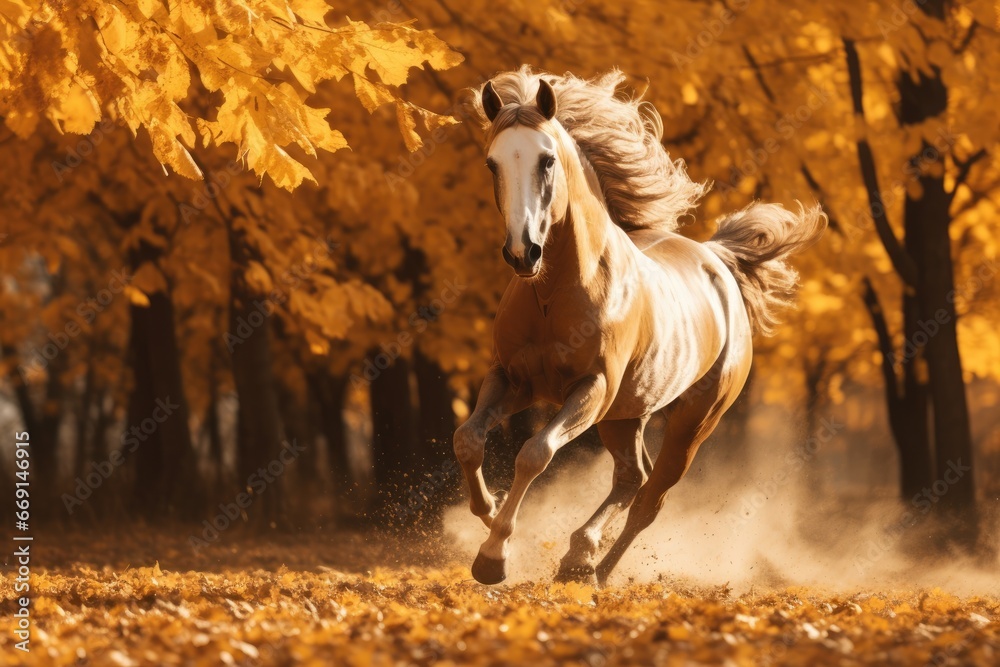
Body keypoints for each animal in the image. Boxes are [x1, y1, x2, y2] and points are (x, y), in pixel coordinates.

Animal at [456, 68, 828, 588]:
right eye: (492, 163)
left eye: (547, 160)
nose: (522, 252)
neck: (554, 295)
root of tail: (717, 259)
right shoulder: (512, 379)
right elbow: (468, 440)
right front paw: (490, 513)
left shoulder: (591, 389)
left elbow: (535, 452)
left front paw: (493, 554)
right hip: (625, 416)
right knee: (631, 477)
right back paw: (580, 554)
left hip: (692, 423)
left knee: (651, 498)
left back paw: (591, 568)